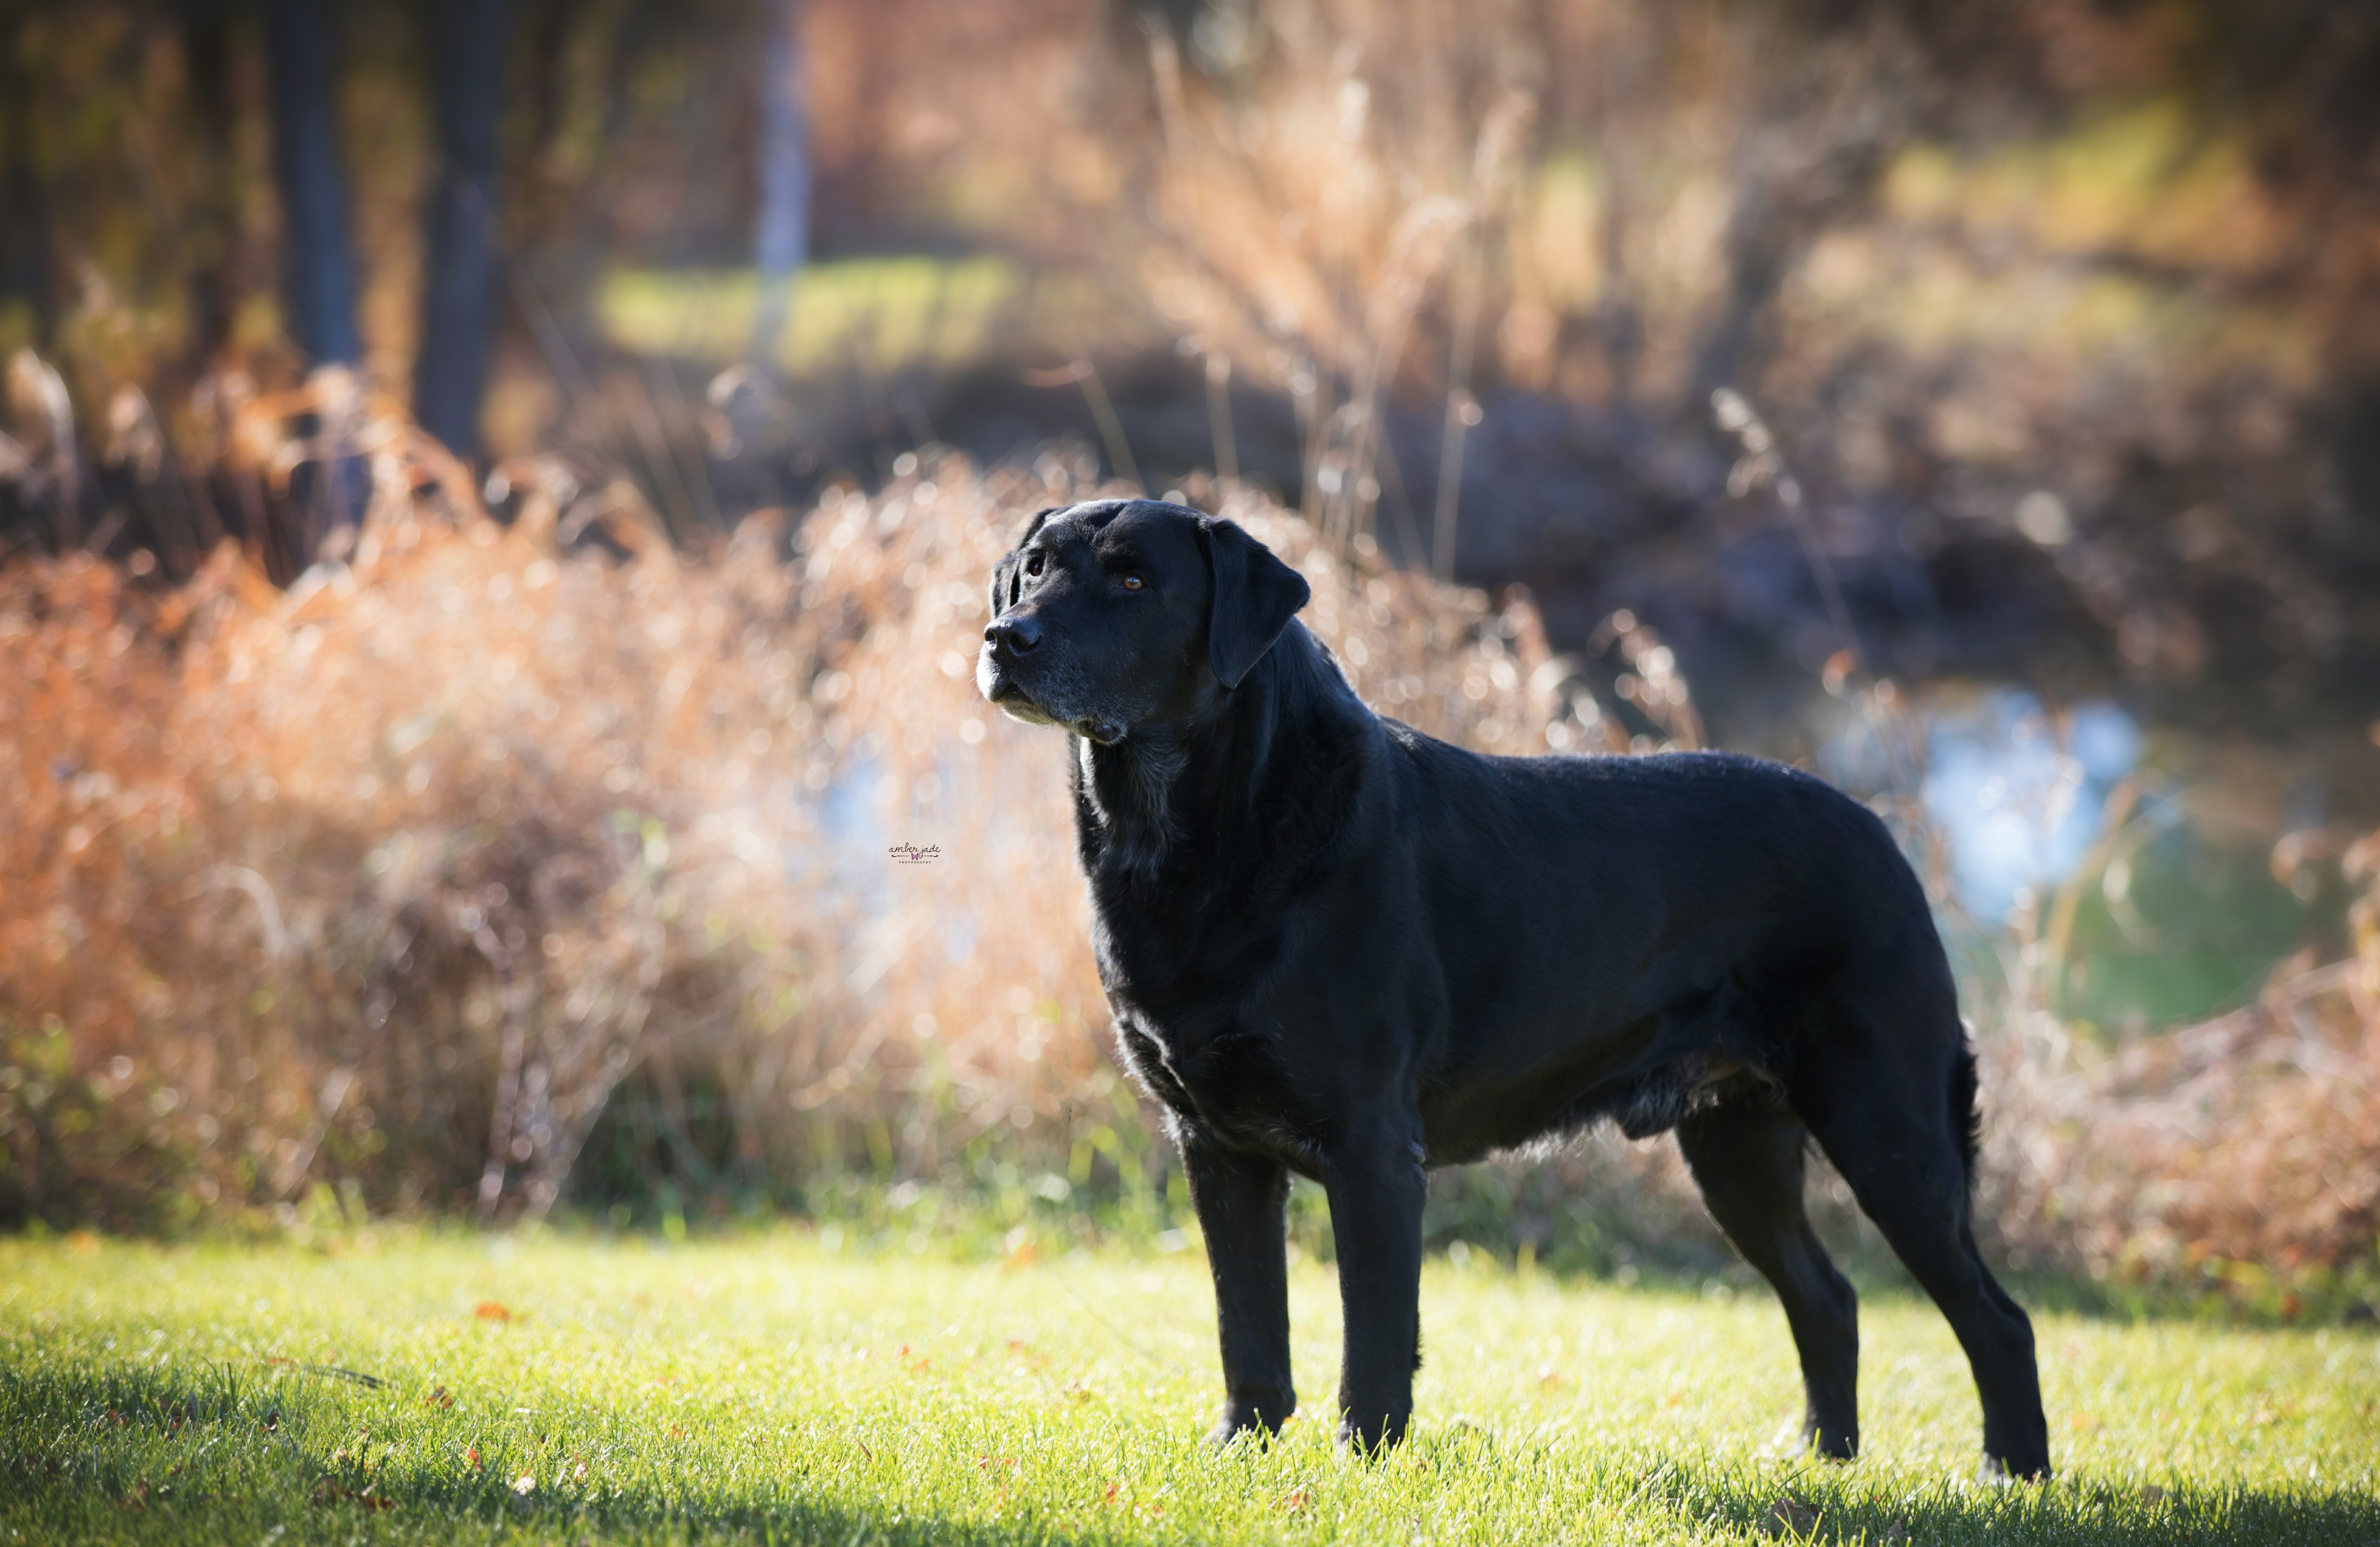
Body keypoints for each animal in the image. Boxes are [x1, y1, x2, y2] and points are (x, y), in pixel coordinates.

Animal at [975, 500, 2056, 1475]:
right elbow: (1247, 1324)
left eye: (1131, 579)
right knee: (1827, 1299)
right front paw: (1242, 1451)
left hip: (1889, 1126)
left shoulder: (1373, 1146)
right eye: (1032, 570)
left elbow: (1374, 1339)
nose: (1003, 637)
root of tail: (1882, 832)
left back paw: (2012, 1473)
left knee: (1998, 1317)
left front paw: (1360, 1468)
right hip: (1736, 1141)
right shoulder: (1215, 1144)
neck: (1185, 838)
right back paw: (1821, 1460)